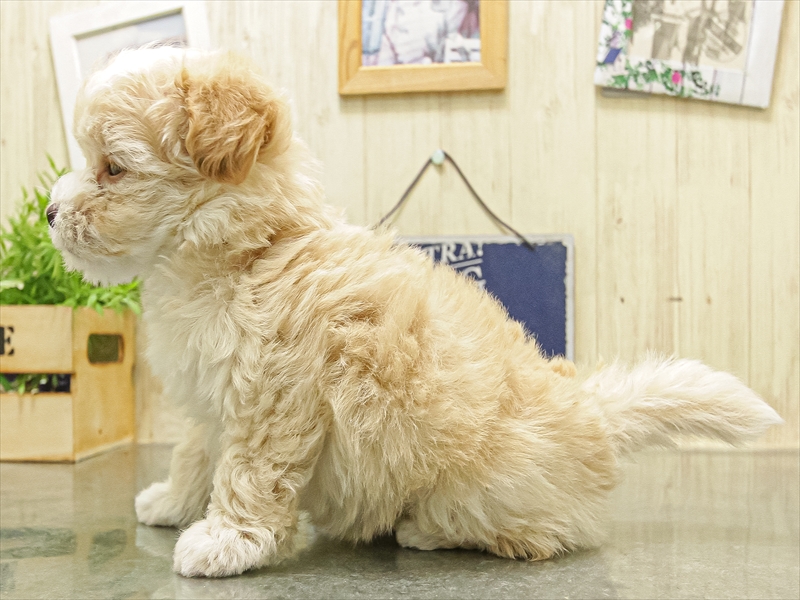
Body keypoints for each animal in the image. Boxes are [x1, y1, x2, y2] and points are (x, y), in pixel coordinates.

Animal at [47, 47, 782, 578]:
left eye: (113, 169)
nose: (51, 212)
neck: (252, 250)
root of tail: (593, 414)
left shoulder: (273, 395)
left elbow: (249, 473)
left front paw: (227, 542)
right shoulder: (214, 395)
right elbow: (196, 453)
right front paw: (171, 503)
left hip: (492, 483)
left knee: (543, 533)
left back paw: (427, 529)